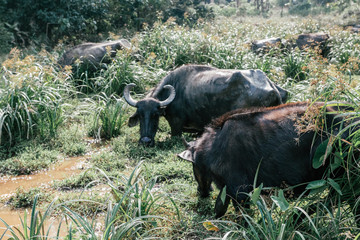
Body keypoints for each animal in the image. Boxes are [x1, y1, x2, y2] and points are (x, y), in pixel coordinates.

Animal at [178, 101, 360, 221]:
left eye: (193, 166)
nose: (200, 191)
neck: (212, 147)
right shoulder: (229, 189)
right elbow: (219, 209)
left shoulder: (239, 191)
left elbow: (243, 219)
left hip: (343, 178)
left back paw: (296, 219)